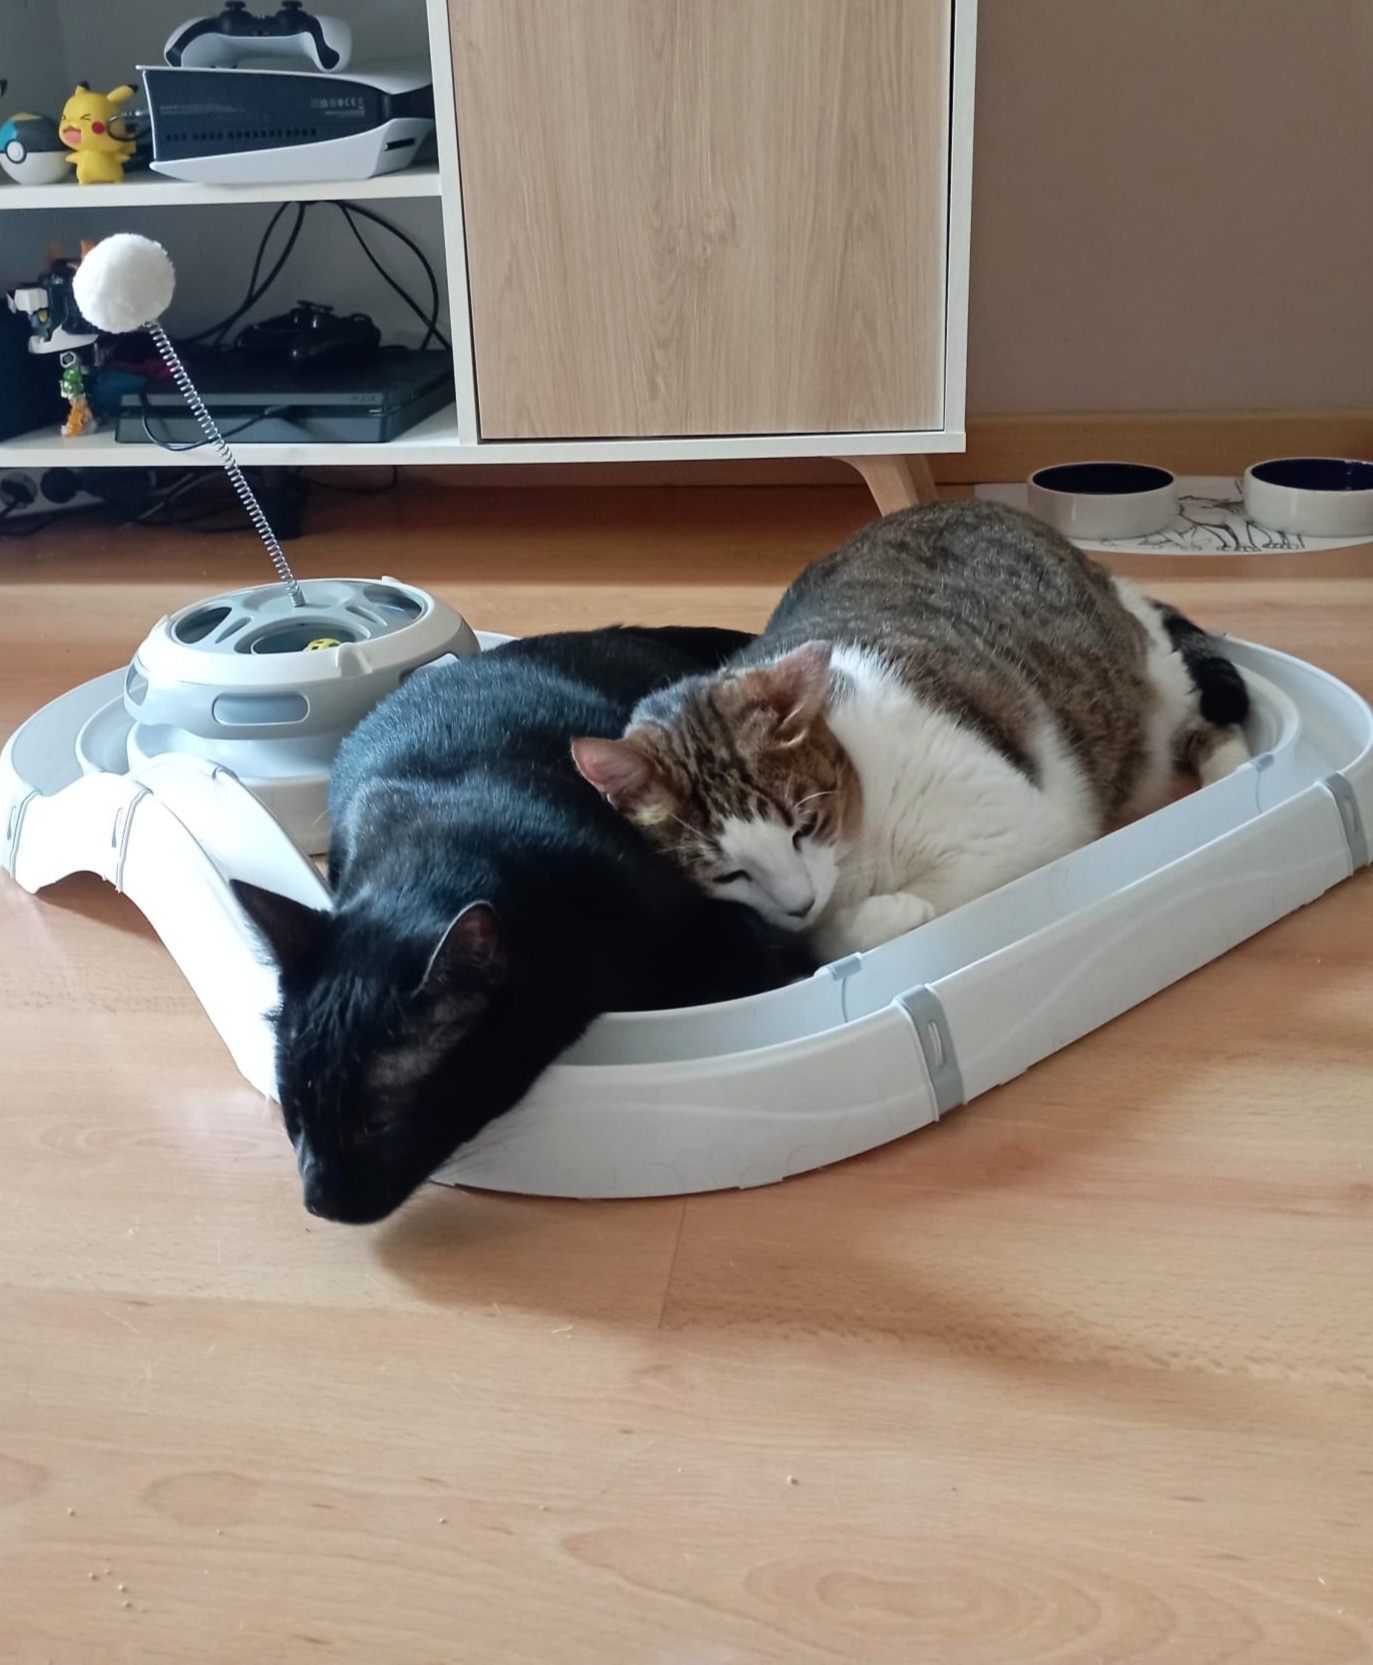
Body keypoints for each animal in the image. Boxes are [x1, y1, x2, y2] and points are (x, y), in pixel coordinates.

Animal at [572, 500, 1251, 963]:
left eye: (805, 826)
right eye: (727, 874)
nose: (798, 902)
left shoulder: (1016, 831)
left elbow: (942, 895)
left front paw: (899, 911)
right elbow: (818, 941)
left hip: (1154, 680)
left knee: (1205, 717)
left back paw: (1237, 774)